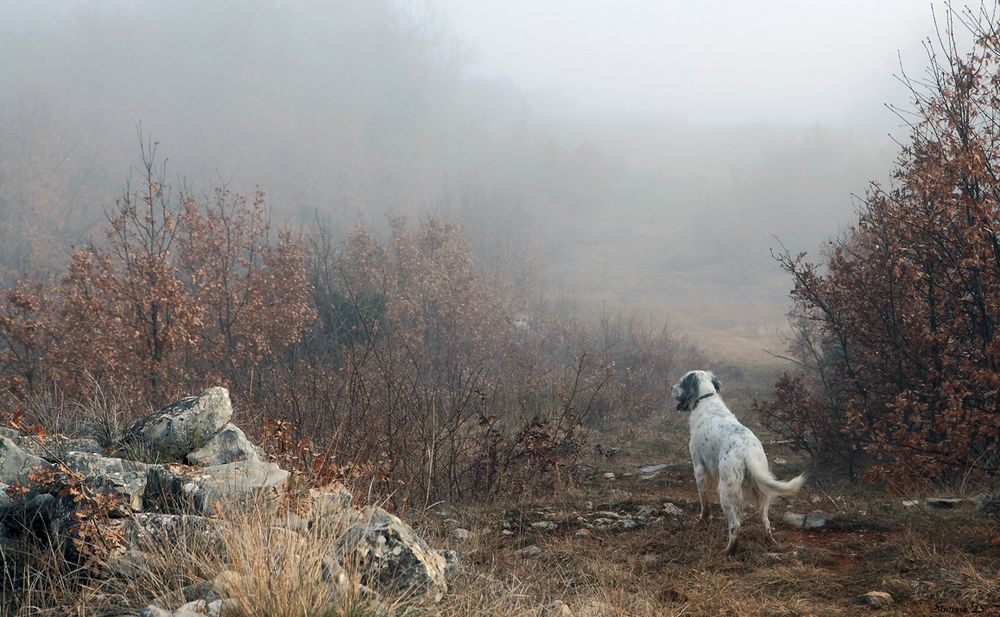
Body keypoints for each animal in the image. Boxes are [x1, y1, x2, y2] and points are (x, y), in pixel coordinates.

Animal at [672, 368, 804, 552]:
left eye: (681, 382)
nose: (671, 388)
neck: (706, 399)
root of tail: (747, 451)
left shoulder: (699, 468)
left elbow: (704, 503)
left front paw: (702, 520)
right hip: (761, 492)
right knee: (765, 521)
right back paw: (769, 541)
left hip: (726, 492)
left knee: (735, 525)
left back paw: (728, 550)